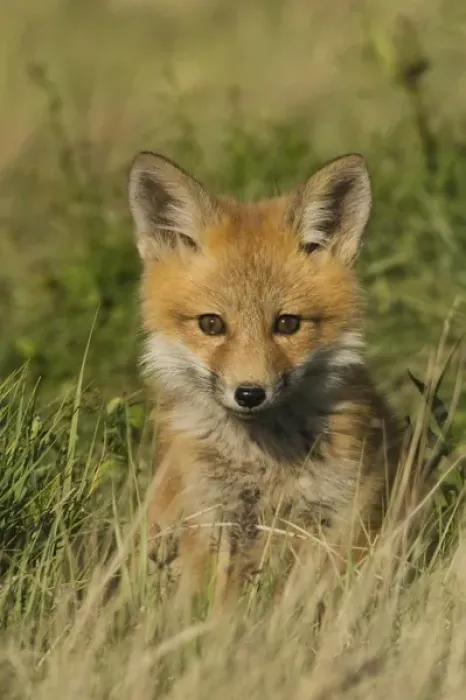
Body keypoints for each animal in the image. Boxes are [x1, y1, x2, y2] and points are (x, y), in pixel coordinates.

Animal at [127, 149, 406, 610]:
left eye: (287, 324)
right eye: (211, 324)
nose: (249, 393)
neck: (260, 463)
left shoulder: (336, 516)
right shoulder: (210, 519)